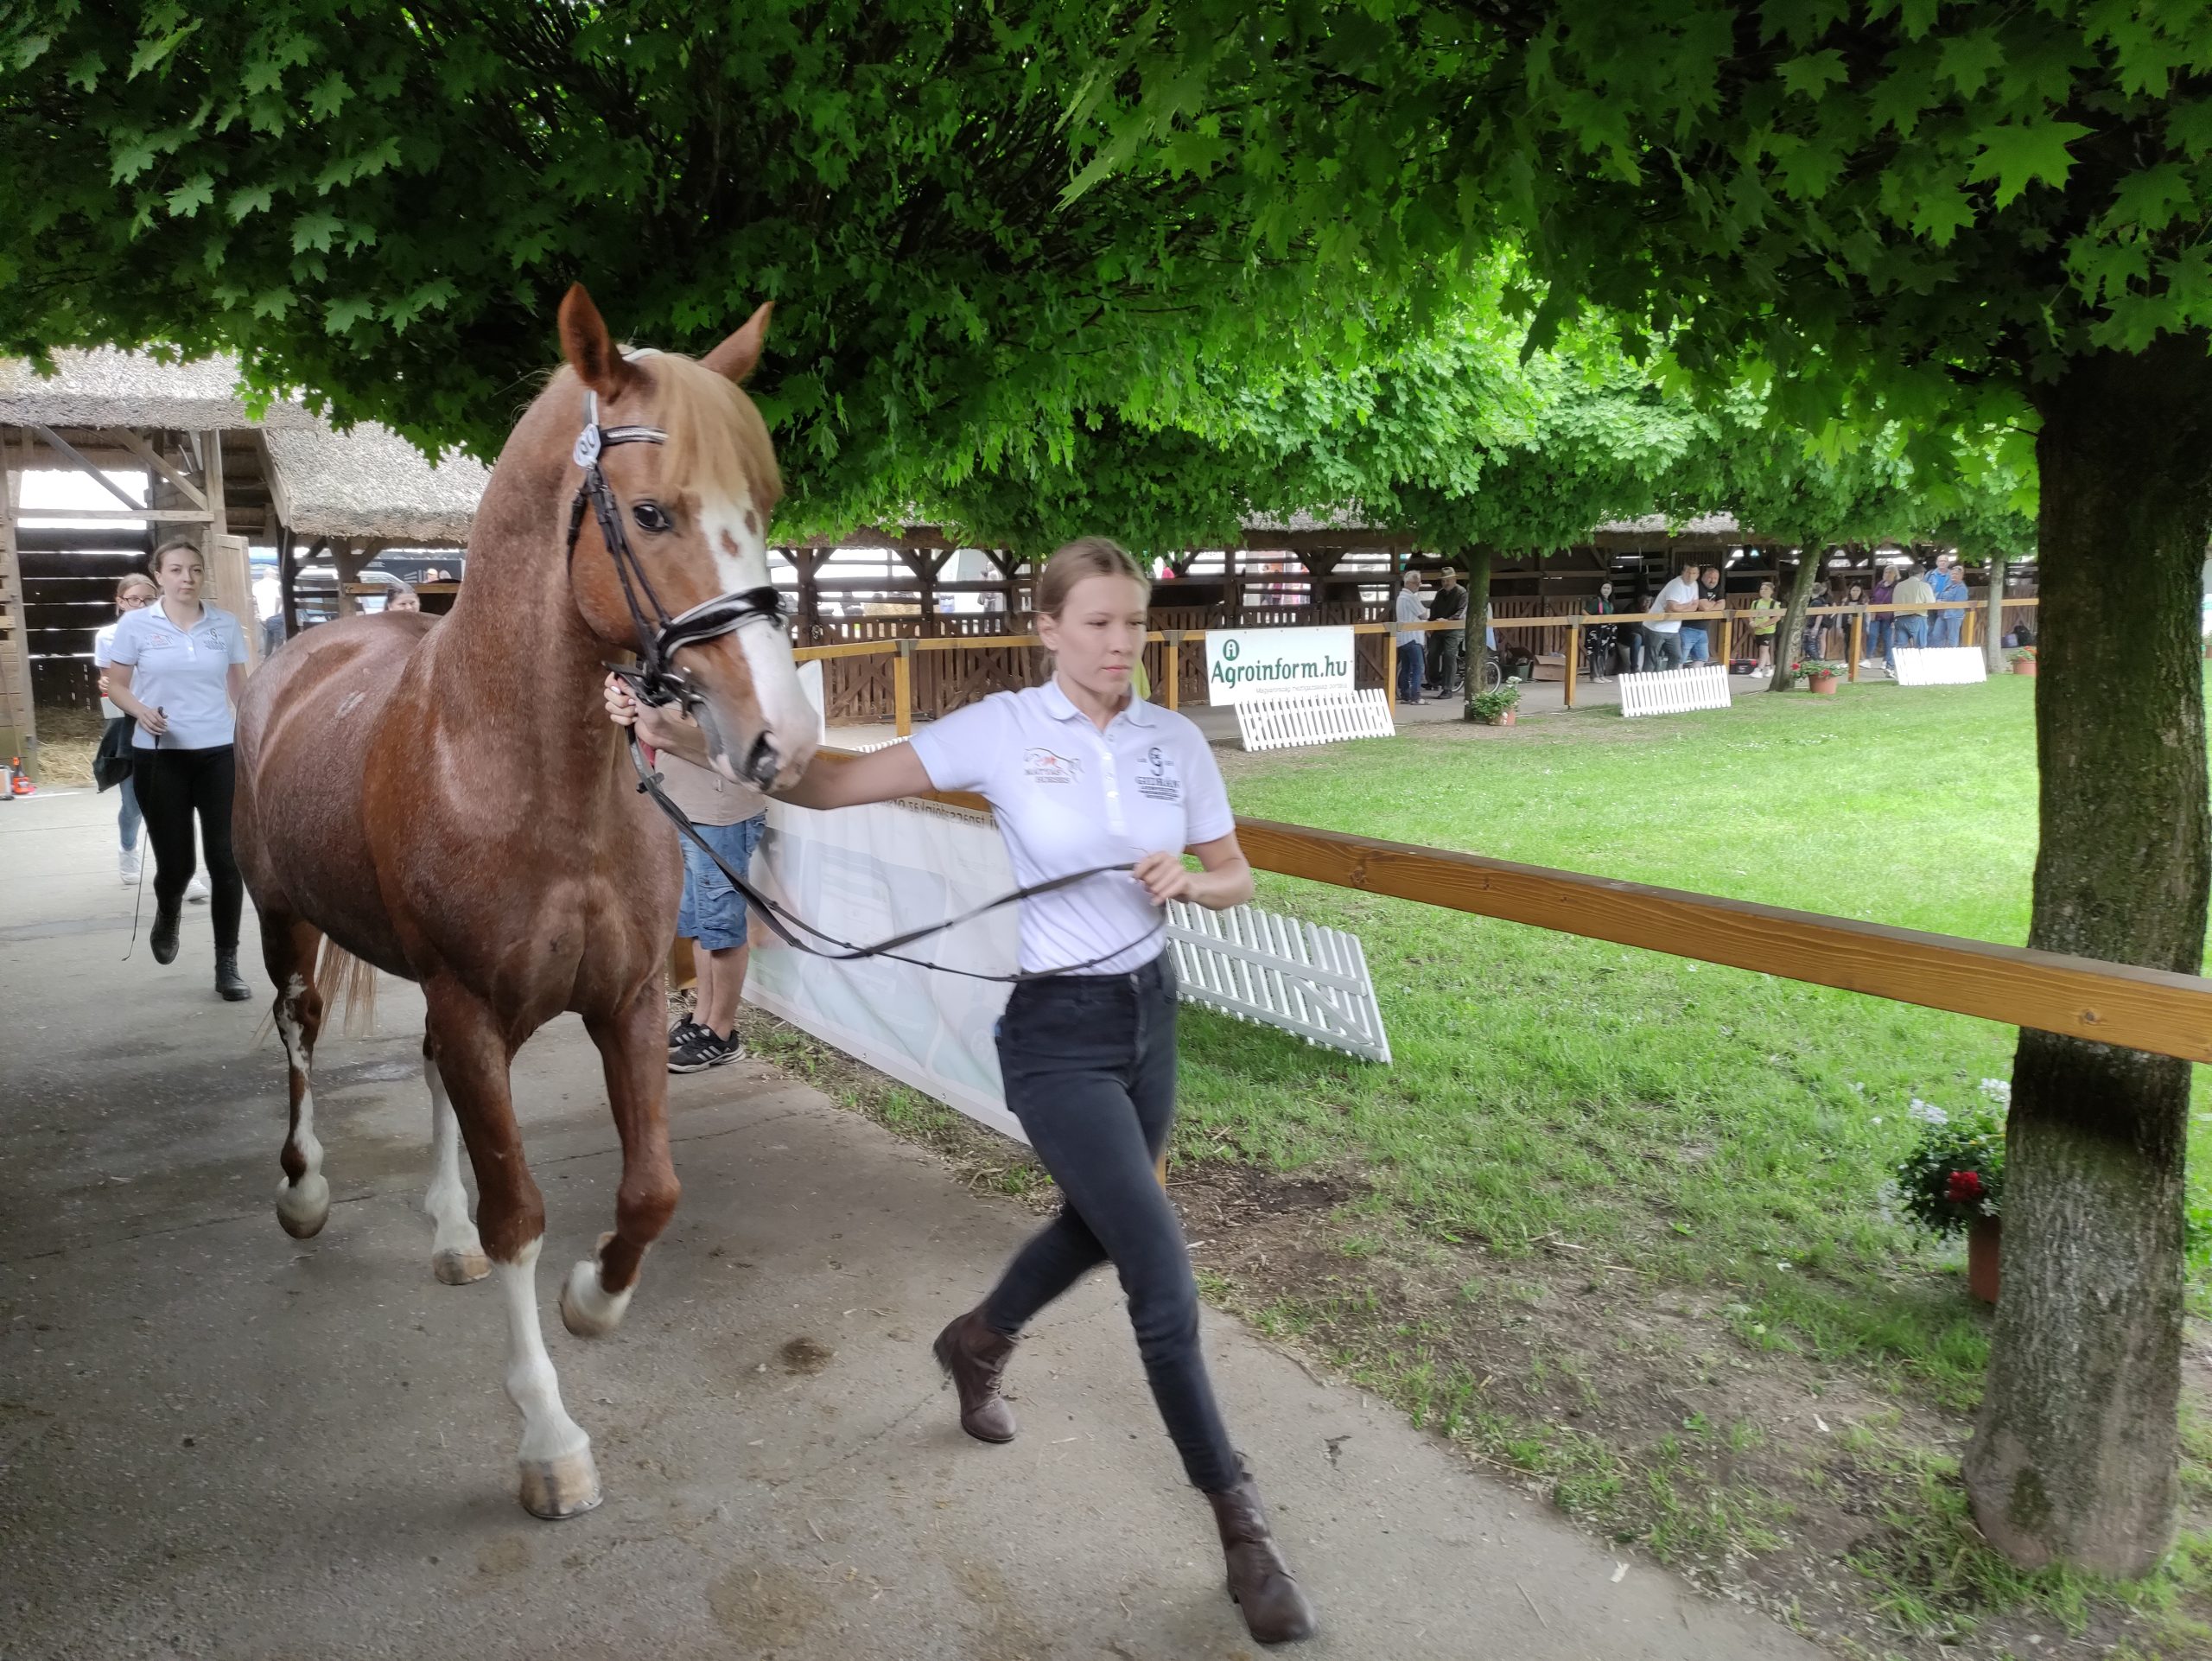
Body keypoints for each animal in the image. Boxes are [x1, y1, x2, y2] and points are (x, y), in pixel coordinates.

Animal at [235, 285, 823, 1521]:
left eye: (762, 506)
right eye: (649, 511)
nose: (781, 737)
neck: (521, 769)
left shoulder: (629, 999)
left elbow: (651, 1187)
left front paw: (594, 1296)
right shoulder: (469, 1001)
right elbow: (521, 1216)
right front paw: (548, 1437)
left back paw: (444, 1225)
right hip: (283, 917)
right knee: (300, 1031)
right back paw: (305, 1191)